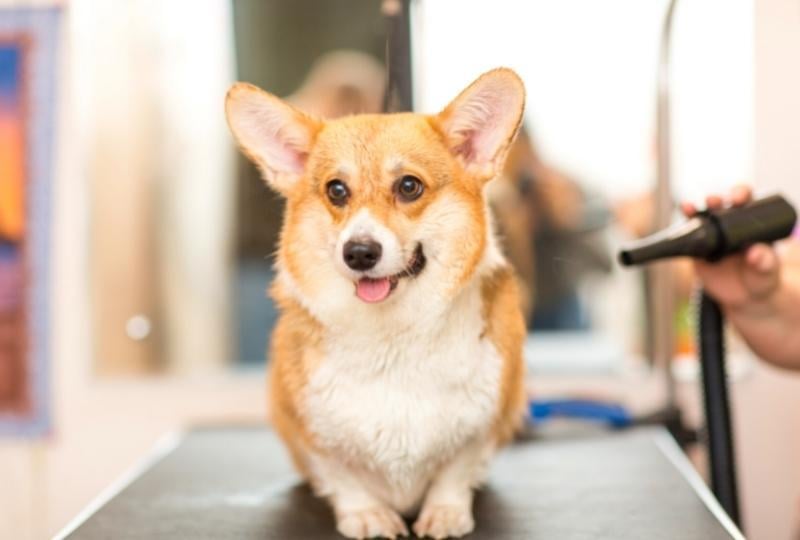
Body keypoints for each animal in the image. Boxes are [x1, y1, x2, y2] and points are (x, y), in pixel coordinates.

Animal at [225, 68, 528, 540]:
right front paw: (367, 515)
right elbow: (344, 478)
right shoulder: (312, 437)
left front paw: (445, 512)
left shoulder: (483, 427)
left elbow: (455, 472)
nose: (359, 252)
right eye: (336, 190)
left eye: (409, 186)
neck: (391, 338)